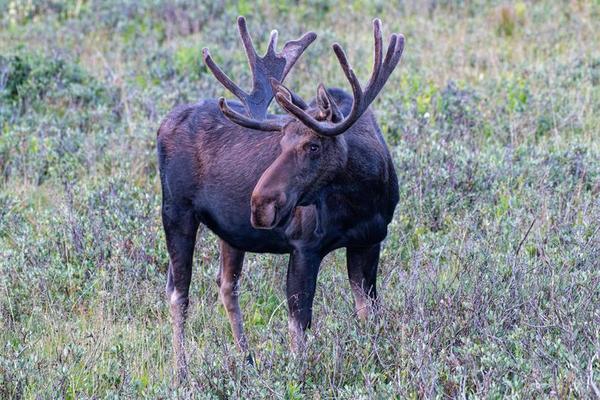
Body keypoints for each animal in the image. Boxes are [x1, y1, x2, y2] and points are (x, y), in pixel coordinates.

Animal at [157, 15, 406, 378]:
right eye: (281, 142)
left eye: (313, 145)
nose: (260, 204)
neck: (362, 199)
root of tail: (164, 123)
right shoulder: (304, 245)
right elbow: (298, 323)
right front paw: (300, 374)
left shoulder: (370, 240)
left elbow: (368, 313)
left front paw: (375, 362)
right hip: (176, 212)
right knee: (179, 292)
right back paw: (181, 371)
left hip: (230, 231)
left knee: (226, 285)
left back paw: (247, 359)